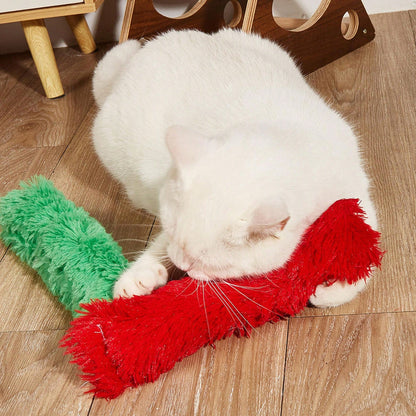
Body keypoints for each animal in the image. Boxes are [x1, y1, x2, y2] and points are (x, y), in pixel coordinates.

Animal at [92, 29, 378, 308]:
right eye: (171, 231)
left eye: (203, 262)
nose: (181, 264)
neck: (284, 141)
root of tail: (142, 52)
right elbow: (158, 245)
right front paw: (140, 276)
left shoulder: (356, 195)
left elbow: (367, 250)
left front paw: (336, 290)